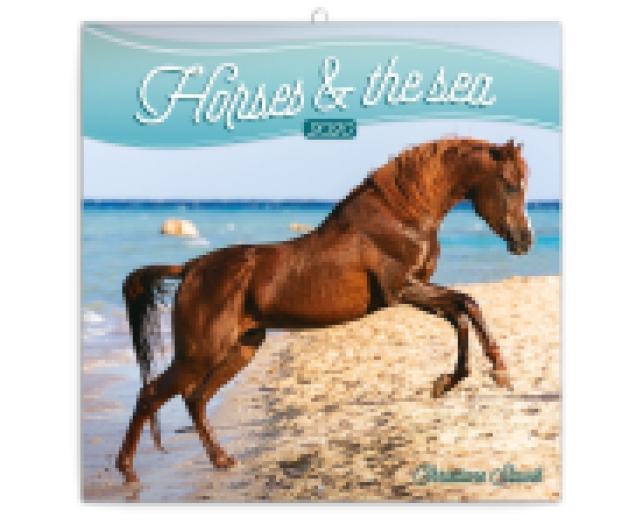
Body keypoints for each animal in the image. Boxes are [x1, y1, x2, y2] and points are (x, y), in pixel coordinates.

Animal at [116, 137, 533, 483]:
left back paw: (222, 460)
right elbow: (468, 303)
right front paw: (498, 371)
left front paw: (448, 381)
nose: (524, 241)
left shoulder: (415, 293)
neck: (401, 215)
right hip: (200, 352)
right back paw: (127, 470)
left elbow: (460, 314)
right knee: (152, 394)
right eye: (510, 184)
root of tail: (190, 268)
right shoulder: (404, 289)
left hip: (242, 348)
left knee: (195, 399)